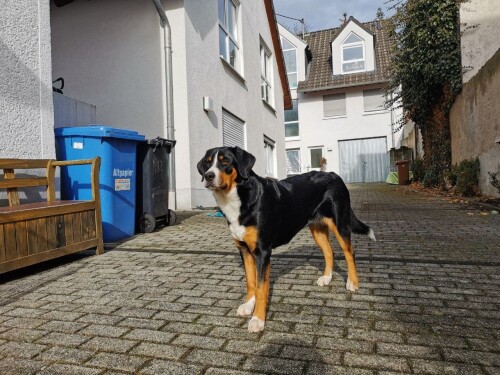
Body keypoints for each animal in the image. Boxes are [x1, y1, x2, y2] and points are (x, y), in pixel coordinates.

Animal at [195, 145, 376, 334]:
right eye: (207, 163)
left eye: (225, 162)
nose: (208, 175)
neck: (238, 198)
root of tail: (334, 174)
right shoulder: (244, 250)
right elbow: (251, 282)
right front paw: (248, 306)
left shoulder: (262, 251)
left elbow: (261, 287)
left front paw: (258, 319)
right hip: (317, 229)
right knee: (329, 252)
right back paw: (326, 278)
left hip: (340, 224)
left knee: (349, 252)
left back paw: (352, 282)